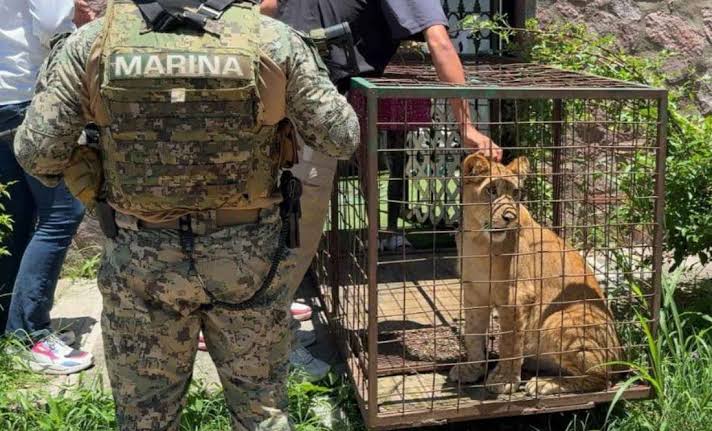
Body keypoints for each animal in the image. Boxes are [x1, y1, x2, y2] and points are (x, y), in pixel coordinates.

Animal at [447, 153, 621, 396]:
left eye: (515, 193)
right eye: (491, 190)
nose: (509, 216)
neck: (478, 238)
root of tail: (621, 357)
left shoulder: (517, 296)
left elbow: (509, 342)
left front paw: (504, 380)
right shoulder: (474, 292)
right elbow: (472, 334)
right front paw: (471, 370)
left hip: (557, 319)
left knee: (601, 379)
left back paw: (543, 384)